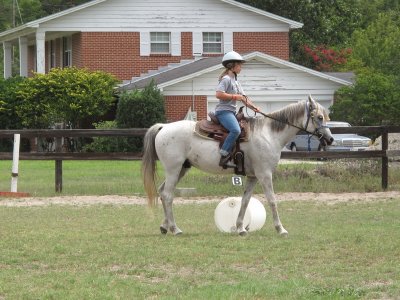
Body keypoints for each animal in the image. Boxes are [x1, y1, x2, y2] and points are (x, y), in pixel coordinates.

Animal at [142, 95, 332, 236]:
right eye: (319, 117)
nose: (330, 139)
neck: (269, 134)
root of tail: (163, 127)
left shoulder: (253, 176)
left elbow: (245, 201)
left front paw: (240, 228)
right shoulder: (265, 174)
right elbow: (272, 200)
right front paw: (281, 229)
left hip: (181, 169)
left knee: (163, 192)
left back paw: (165, 226)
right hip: (173, 170)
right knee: (168, 195)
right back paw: (175, 229)